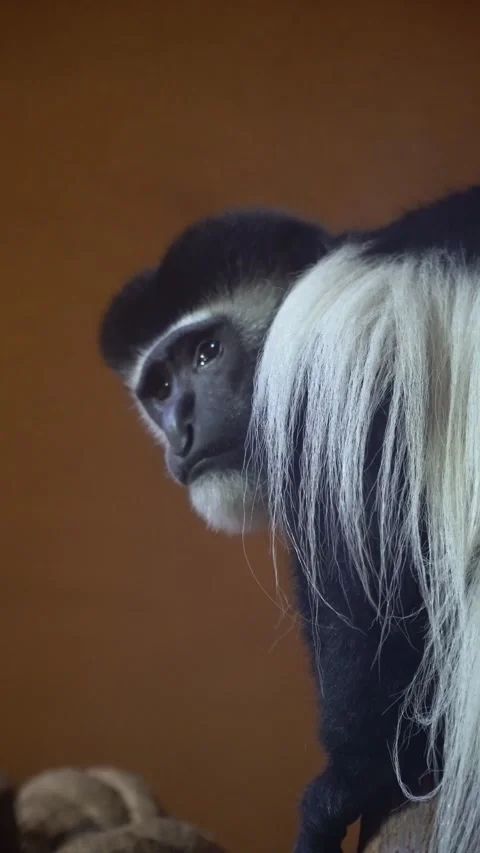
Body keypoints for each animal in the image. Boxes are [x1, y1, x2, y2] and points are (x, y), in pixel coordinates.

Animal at [99, 186, 480, 853]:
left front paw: (344, 783)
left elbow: (360, 580)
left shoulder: (328, 357)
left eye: (207, 352)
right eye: (160, 387)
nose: (180, 432)